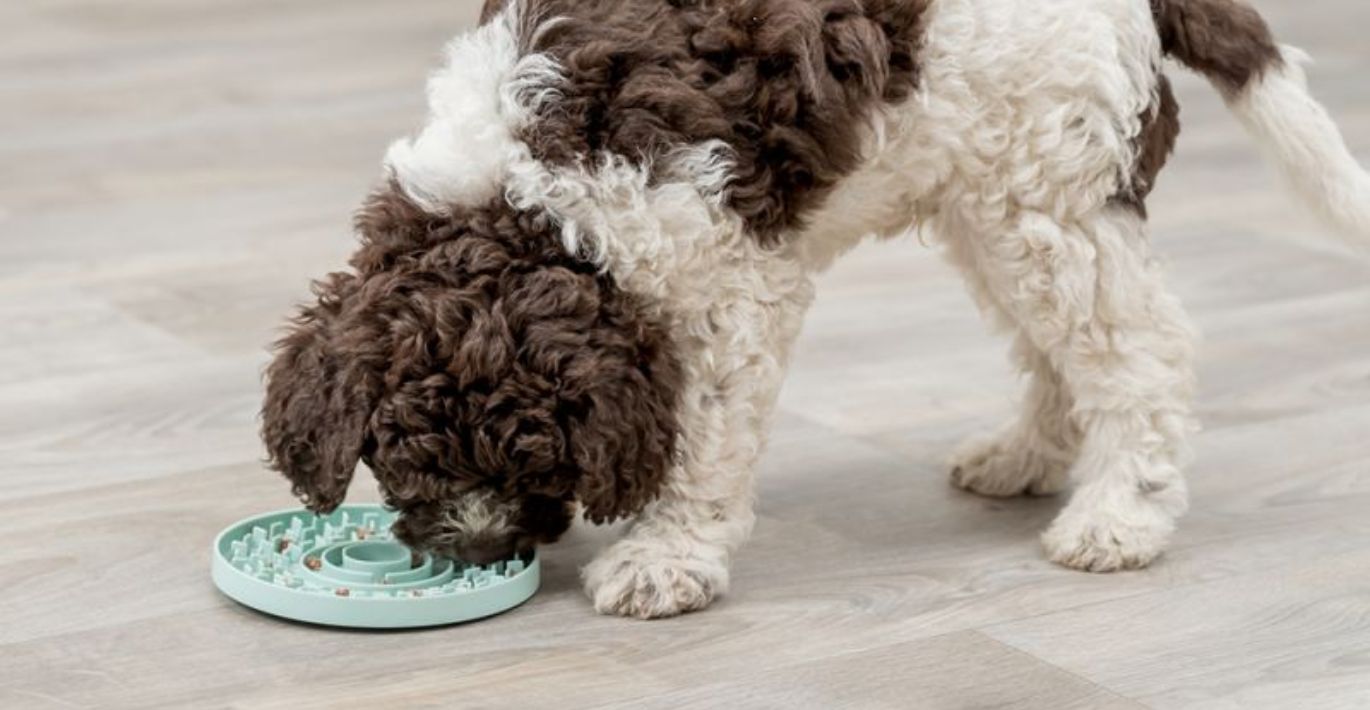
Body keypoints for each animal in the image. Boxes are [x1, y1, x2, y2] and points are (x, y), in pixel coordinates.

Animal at [258, 0, 1370, 619]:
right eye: (405, 459)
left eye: (537, 462)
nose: (481, 554)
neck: (528, 199)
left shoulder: (725, 283)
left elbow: (703, 440)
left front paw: (666, 559)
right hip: (987, 194)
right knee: (1057, 342)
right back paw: (1026, 456)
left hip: (1045, 183)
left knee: (1138, 346)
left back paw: (1117, 514)